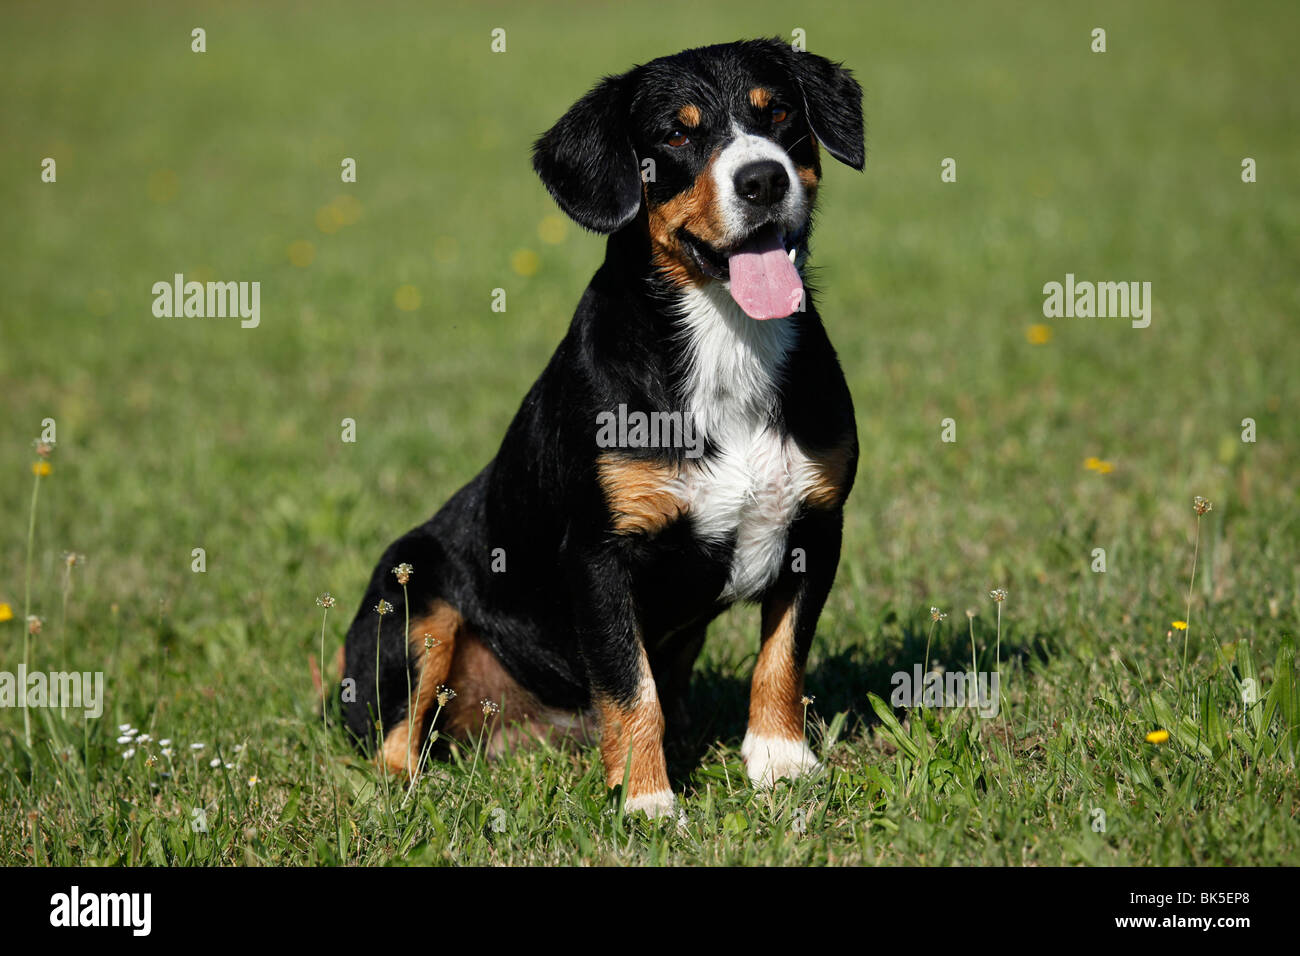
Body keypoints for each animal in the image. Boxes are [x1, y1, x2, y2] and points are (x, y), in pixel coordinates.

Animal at [343, 35, 863, 816]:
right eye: (676, 135)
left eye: (780, 116)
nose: (764, 180)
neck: (728, 339)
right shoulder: (599, 557)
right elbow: (629, 687)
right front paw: (648, 802)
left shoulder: (816, 524)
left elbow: (782, 658)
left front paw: (780, 762)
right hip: (412, 600)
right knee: (395, 738)